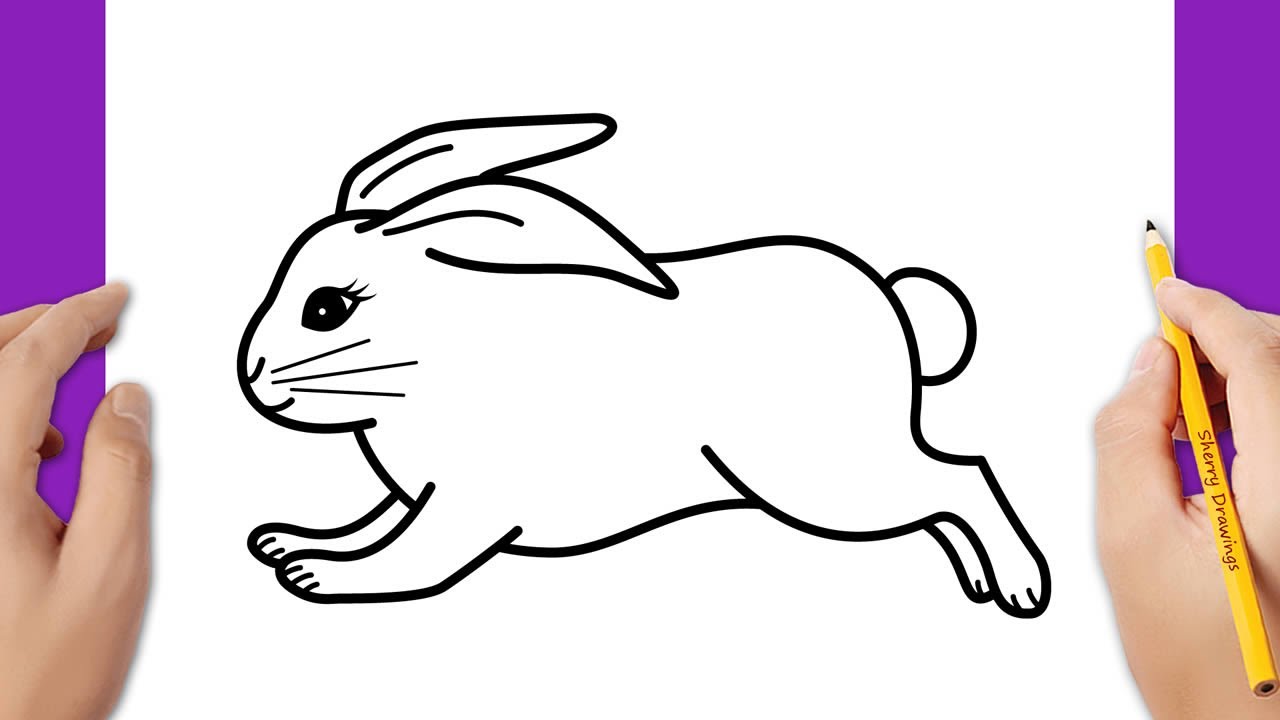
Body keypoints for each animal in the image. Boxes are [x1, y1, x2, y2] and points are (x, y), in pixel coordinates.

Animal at [237, 113, 1051, 618]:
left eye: (327, 309)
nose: (252, 377)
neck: (435, 354)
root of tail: (894, 304)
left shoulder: (468, 507)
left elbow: (408, 560)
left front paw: (319, 576)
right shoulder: (417, 495)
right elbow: (370, 524)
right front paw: (291, 544)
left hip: (823, 475)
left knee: (959, 476)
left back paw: (1019, 588)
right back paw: (983, 582)